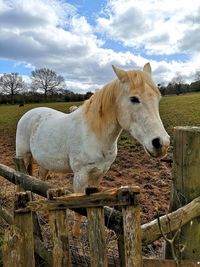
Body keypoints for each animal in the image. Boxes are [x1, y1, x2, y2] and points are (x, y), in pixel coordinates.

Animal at [15, 62, 170, 234]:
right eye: (134, 99)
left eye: (158, 98)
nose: (161, 143)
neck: (94, 134)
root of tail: (29, 113)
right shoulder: (80, 176)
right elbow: (78, 209)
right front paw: (75, 235)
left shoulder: (98, 174)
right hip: (23, 157)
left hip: (44, 163)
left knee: (39, 182)